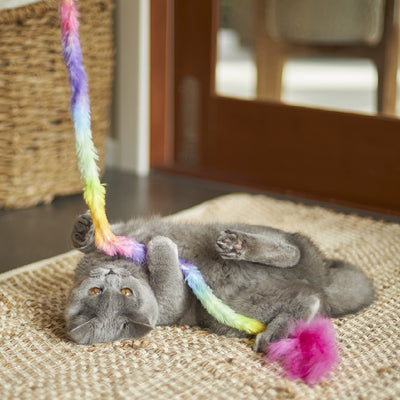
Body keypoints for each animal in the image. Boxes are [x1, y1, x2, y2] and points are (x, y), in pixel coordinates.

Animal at [64, 212, 374, 350]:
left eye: (125, 292)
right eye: (97, 292)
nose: (110, 276)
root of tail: (321, 279)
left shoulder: (130, 228)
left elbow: (106, 236)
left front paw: (83, 231)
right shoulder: (171, 306)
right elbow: (168, 279)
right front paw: (161, 246)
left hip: (252, 228)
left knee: (291, 251)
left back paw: (237, 245)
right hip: (234, 312)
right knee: (307, 299)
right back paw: (273, 337)